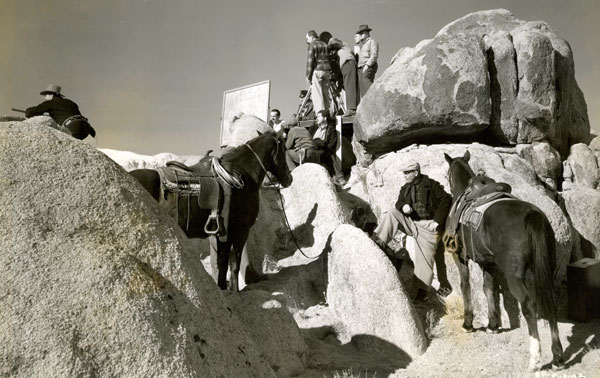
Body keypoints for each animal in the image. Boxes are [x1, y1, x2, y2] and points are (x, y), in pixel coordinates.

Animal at [131, 133, 292, 292]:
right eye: (284, 149)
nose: (289, 179)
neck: (242, 175)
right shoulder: (240, 231)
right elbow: (234, 263)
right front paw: (234, 289)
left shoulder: (222, 233)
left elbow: (222, 263)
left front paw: (222, 287)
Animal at [442, 149, 564, 370]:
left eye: (447, 175)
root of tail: (534, 216)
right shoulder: (488, 263)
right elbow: (488, 289)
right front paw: (493, 325)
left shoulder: (460, 257)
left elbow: (466, 287)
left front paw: (468, 324)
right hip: (545, 269)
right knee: (550, 302)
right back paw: (557, 357)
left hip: (515, 277)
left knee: (529, 306)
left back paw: (535, 358)